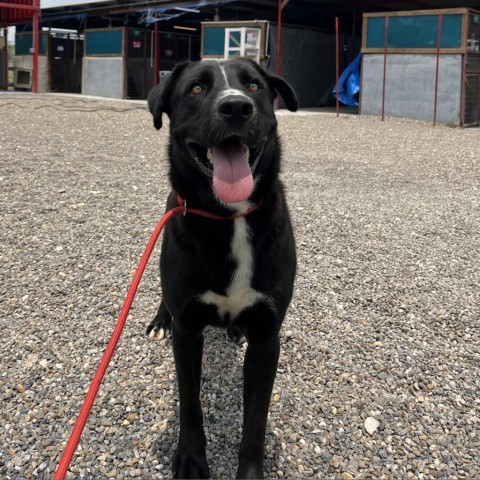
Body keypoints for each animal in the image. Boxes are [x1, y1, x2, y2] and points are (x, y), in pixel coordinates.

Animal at [147, 60, 296, 480]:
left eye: (254, 86)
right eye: (196, 88)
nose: (236, 107)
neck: (230, 217)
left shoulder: (267, 339)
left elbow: (255, 424)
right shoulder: (188, 330)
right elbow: (190, 403)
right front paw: (191, 458)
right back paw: (159, 321)